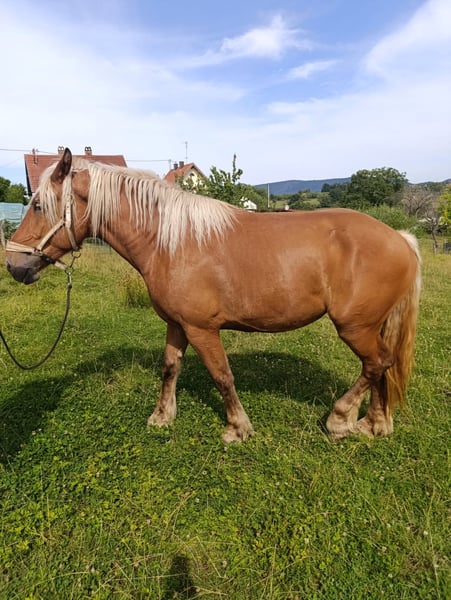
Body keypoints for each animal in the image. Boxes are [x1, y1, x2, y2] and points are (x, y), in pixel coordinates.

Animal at [5, 148, 421, 443]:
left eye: (39, 205)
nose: (13, 264)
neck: (170, 241)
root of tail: (400, 237)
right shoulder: (176, 324)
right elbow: (170, 367)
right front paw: (162, 416)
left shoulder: (201, 328)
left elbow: (222, 375)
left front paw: (238, 428)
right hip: (371, 326)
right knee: (381, 366)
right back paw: (374, 424)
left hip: (354, 327)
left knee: (376, 364)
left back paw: (340, 419)